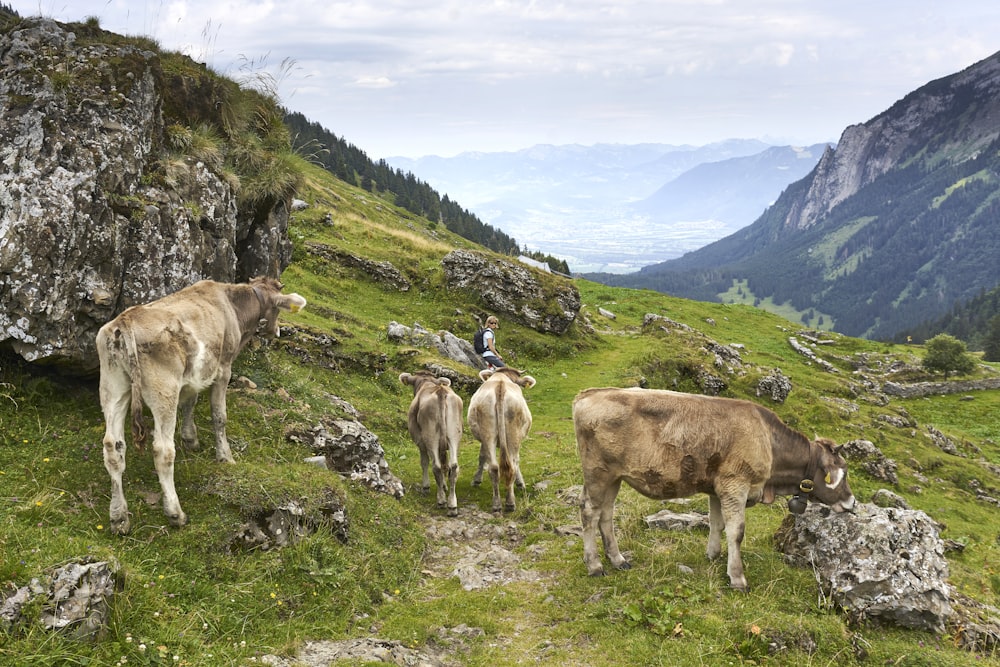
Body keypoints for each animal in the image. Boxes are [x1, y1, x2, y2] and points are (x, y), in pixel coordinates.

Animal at [100, 276, 308, 532]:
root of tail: (126, 320)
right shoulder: (223, 369)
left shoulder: (194, 377)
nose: (276, 331)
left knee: (113, 447)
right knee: (163, 450)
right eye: (278, 309)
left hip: (113, 387)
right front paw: (225, 456)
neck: (232, 305)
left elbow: (190, 402)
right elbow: (219, 416)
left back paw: (119, 517)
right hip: (164, 390)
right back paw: (175, 513)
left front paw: (191, 439)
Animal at [398, 370, 464, 516]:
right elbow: (446, 465)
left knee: (436, 466)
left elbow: (424, 462)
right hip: (454, 435)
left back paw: (441, 501)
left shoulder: (420, 442)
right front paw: (444, 486)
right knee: (453, 466)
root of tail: (440, 391)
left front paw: (426, 487)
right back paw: (452, 505)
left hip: (430, 437)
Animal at [464, 368, 536, 516]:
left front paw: (476, 480)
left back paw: (497, 505)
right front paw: (521, 483)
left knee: (494, 467)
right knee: (511, 465)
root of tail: (500, 385)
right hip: (513, 435)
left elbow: (482, 456)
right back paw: (510, 503)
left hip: (488, 434)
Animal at [576, 388, 856, 592]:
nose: (852, 502)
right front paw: (737, 578)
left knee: (606, 515)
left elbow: (716, 524)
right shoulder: (735, 485)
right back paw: (595, 565)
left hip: (614, 478)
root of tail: (590, 394)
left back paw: (618, 560)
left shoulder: (717, 489)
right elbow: (736, 532)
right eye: (840, 473)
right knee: (589, 513)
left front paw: (713, 554)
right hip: (598, 473)